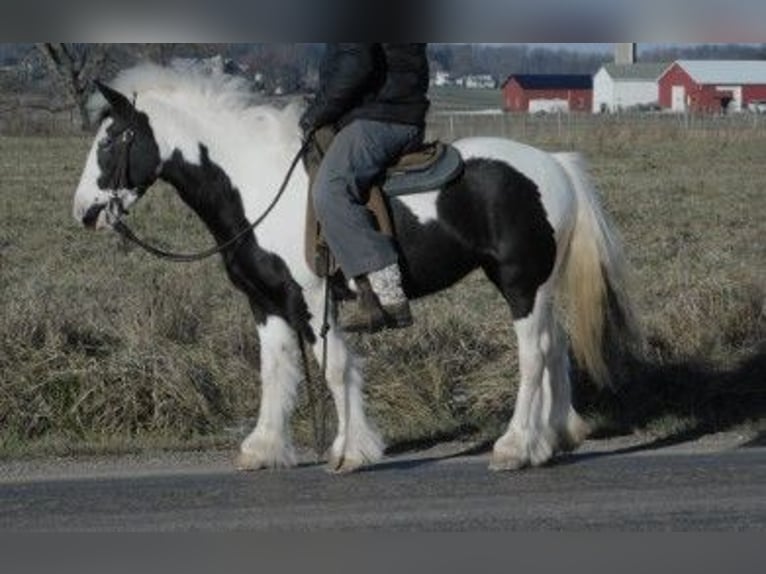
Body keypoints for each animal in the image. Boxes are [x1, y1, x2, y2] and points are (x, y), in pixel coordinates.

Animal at [73, 65, 636, 474]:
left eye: (111, 139)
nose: (86, 212)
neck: (256, 183)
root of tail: (554, 164)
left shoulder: (310, 299)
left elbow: (335, 366)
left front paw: (350, 450)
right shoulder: (265, 302)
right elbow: (276, 370)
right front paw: (264, 448)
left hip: (519, 282)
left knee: (534, 353)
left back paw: (516, 446)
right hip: (540, 285)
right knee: (557, 344)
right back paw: (557, 436)